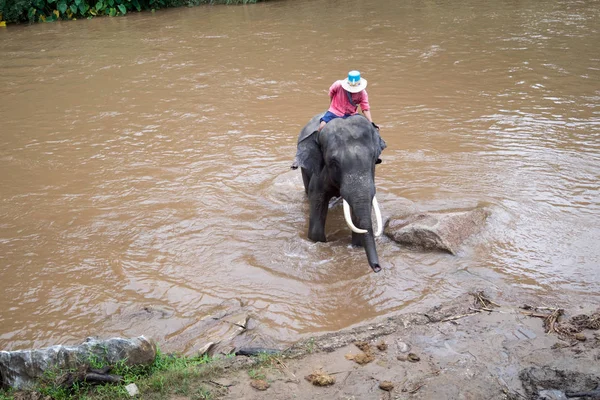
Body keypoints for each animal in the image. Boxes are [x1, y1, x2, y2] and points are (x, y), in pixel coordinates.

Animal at [292, 114, 386, 274]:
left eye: (374, 158)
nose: (377, 268)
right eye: (333, 162)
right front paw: (317, 241)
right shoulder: (320, 170)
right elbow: (317, 197)